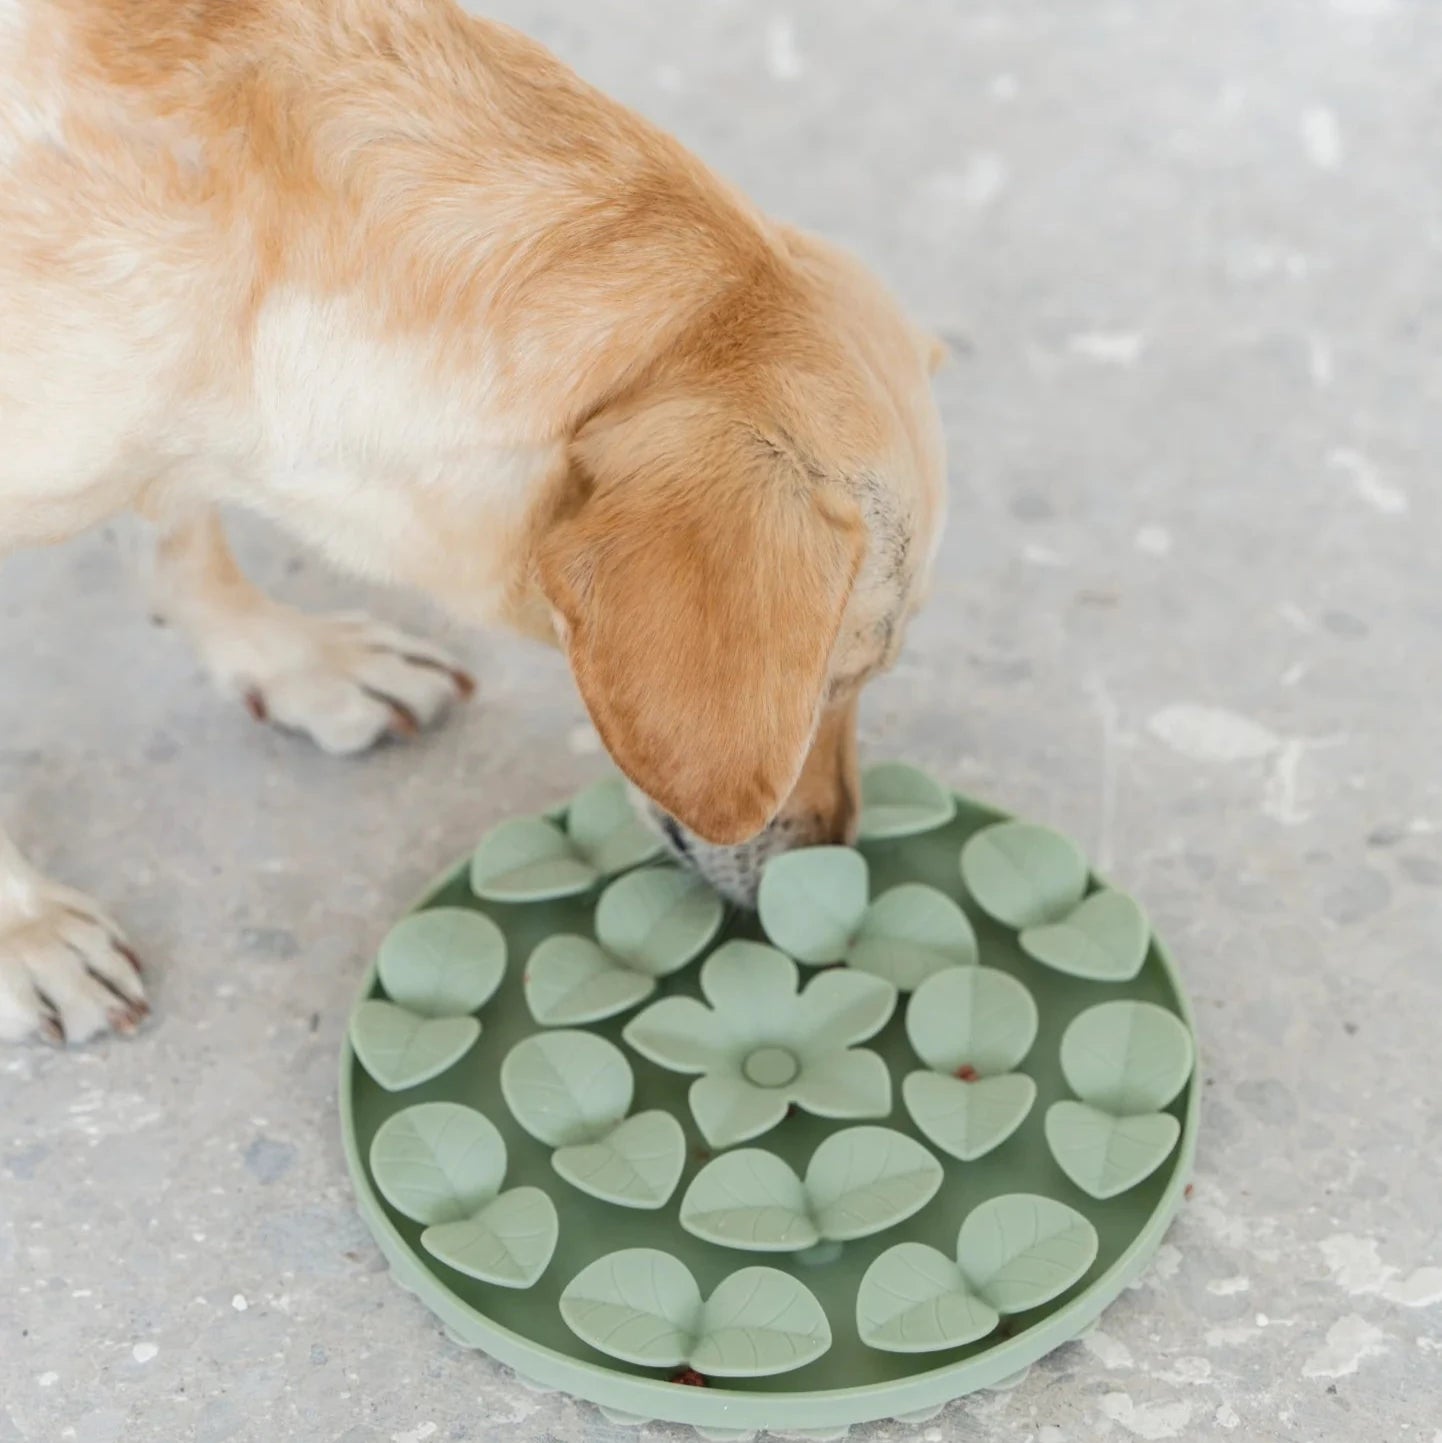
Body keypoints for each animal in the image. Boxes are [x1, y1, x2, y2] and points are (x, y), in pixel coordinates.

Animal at [0, 0, 952, 1038]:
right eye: (834, 682)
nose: (839, 858)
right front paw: (26, 932)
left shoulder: (163, 439)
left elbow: (177, 534)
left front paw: (290, 660)